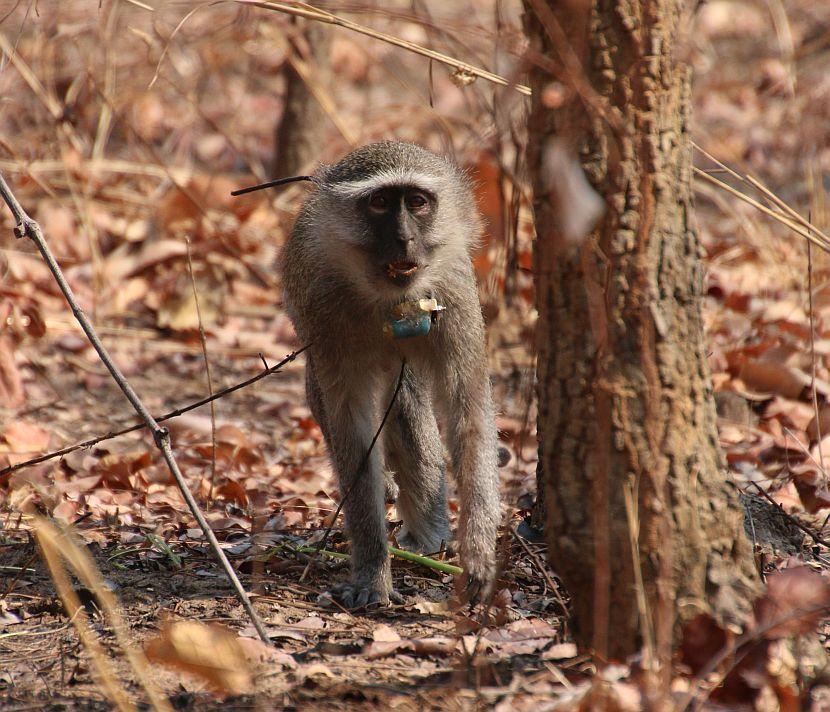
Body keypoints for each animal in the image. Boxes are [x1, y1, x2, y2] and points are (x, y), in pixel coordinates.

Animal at [280, 142, 500, 608]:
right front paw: (372, 570)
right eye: (380, 202)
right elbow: (352, 428)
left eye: (417, 202)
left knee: (408, 408)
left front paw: (478, 551)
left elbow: (467, 410)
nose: (403, 238)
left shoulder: (453, 290)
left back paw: (430, 537)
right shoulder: (323, 307)